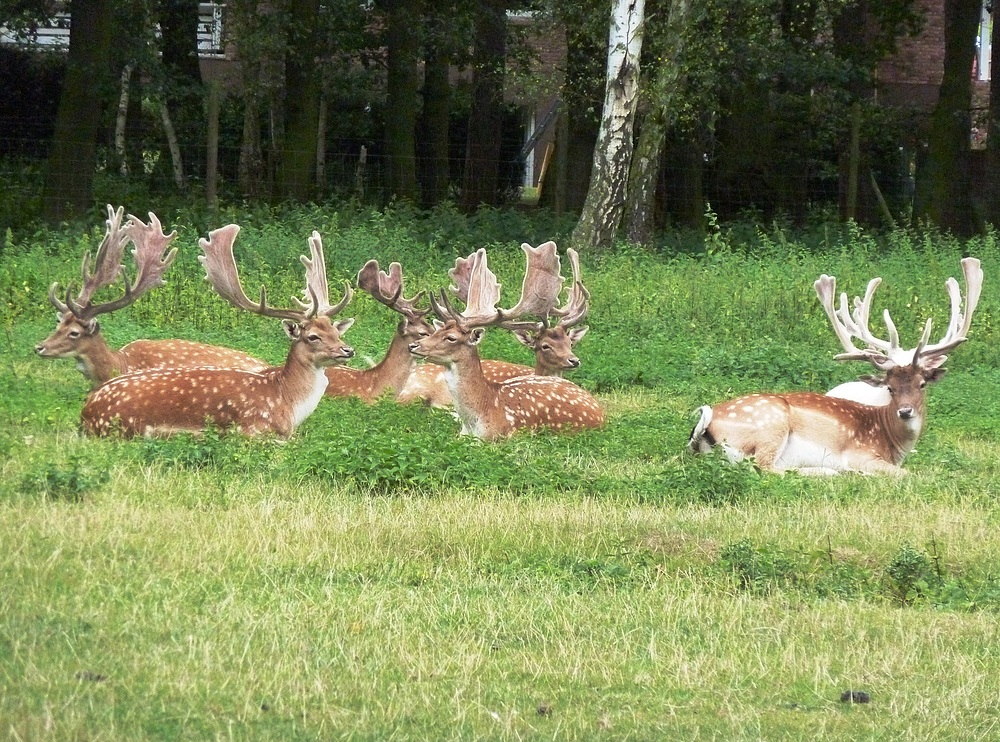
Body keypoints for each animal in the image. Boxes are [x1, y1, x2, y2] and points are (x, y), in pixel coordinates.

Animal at [82, 225, 356, 436]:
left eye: (336, 332)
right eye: (313, 336)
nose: (348, 350)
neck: (286, 403)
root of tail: (85, 413)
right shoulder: (252, 430)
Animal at [692, 258, 980, 476]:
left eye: (922, 384)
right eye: (890, 388)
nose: (905, 411)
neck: (892, 443)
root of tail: (701, 432)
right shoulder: (862, 454)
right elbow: (912, 475)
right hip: (770, 424)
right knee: (765, 468)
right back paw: (830, 472)